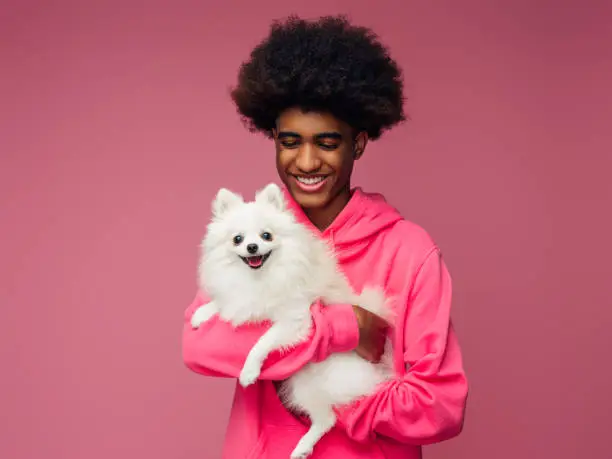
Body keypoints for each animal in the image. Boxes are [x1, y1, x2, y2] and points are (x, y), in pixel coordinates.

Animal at [190, 184, 392, 459]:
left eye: (266, 236)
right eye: (237, 239)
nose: (252, 247)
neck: (259, 278)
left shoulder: (294, 319)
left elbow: (262, 342)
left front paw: (249, 371)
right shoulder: (242, 297)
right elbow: (226, 302)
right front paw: (202, 313)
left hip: (307, 381)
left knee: (326, 419)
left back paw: (303, 447)